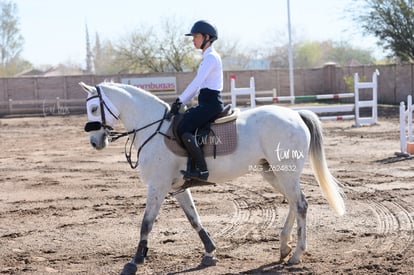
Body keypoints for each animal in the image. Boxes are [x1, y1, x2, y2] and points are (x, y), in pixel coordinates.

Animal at [79, 82, 344, 275]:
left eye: (93, 109)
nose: (95, 142)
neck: (154, 128)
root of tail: (296, 115)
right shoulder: (176, 188)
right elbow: (194, 218)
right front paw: (209, 252)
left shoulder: (157, 185)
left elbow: (147, 222)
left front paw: (135, 261)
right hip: (273, 173)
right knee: (293, 203)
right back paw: (284, 247)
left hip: (285, 172)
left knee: (301, 205)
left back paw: (296, 254)